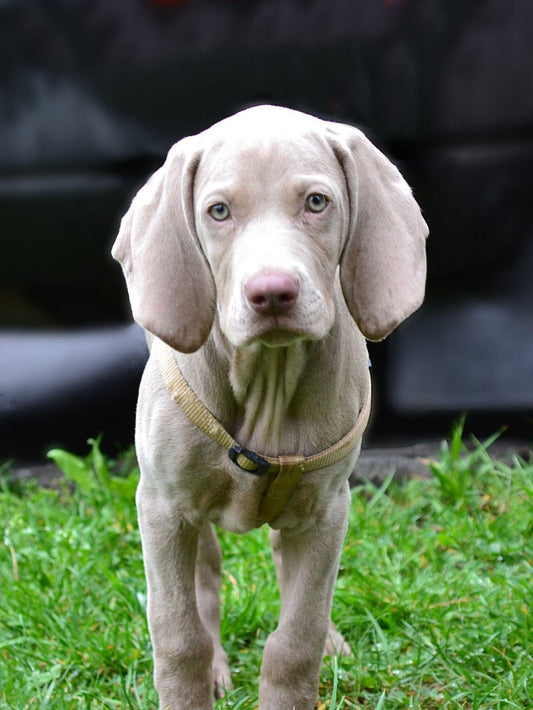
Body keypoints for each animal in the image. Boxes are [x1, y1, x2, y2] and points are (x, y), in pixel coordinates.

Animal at [113, 103, 428, 708]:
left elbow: (295, 639)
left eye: (316, 202)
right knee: (207, 574)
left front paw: (307, 655)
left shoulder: (328, 510)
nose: (273, 293)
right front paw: (195, 675)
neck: (268, 384)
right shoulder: (162, 506)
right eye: (218, 211)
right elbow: (179, 634)